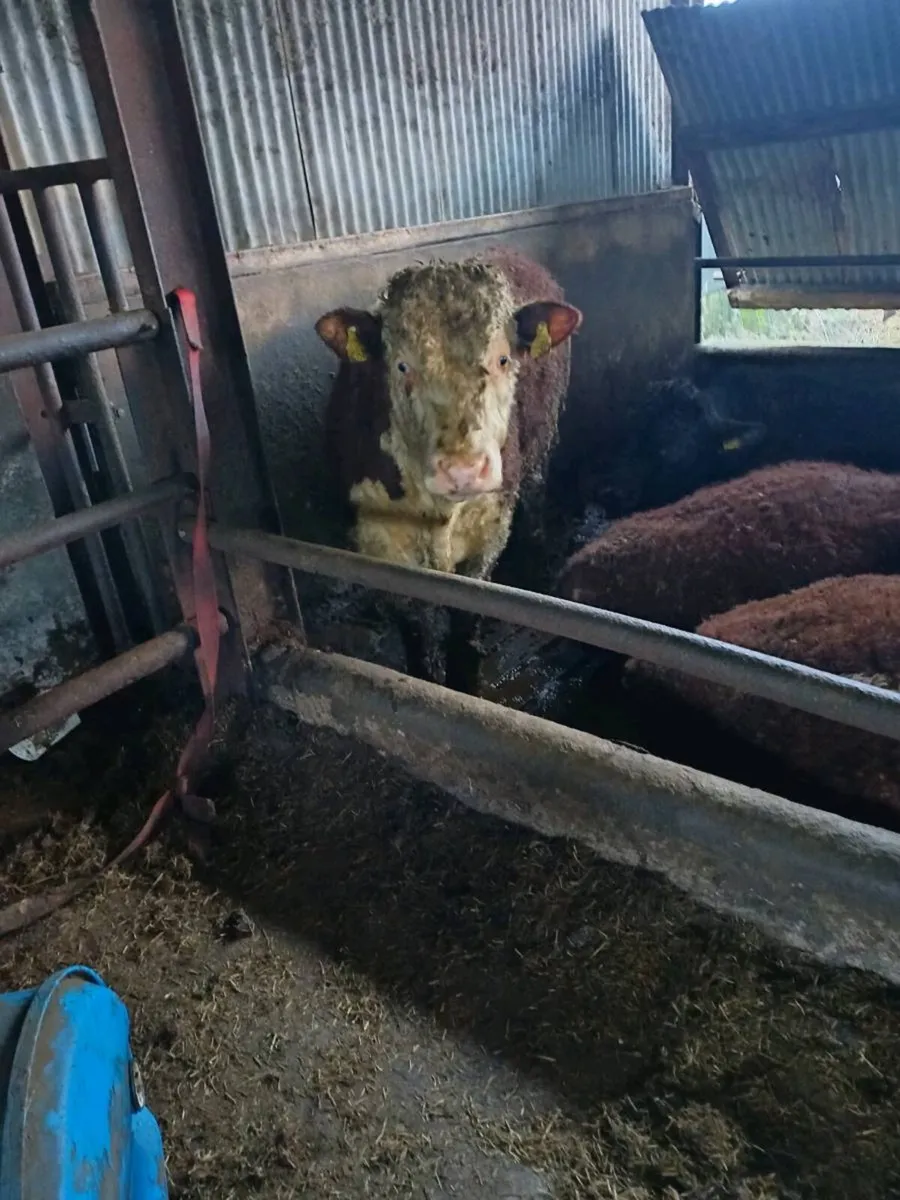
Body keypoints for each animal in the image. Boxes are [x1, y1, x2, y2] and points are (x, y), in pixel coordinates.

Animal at [315, 248, 582, 688]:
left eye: (503, 358)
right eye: (402, 366)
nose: (463, 470)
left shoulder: (490, 529)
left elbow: (466, 616)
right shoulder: (378, 540)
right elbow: (414, 624)